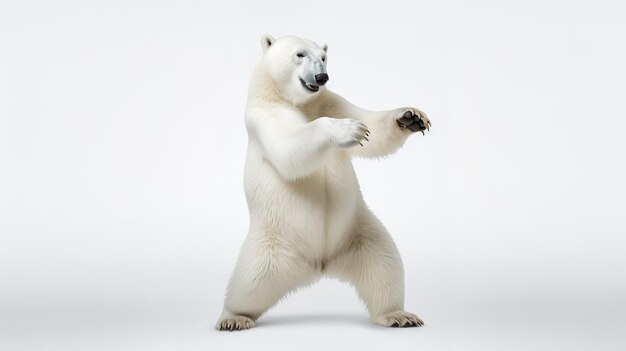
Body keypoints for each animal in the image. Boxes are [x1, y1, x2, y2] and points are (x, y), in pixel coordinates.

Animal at [216, 34, 428, 332]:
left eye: (324, 57)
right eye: (300, 54)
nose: (322, 76)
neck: (298, 102)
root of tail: (320, 263)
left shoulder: (331, 101)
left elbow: (372, 128)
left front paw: (410, 116)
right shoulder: (265, 113)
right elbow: (289, 148)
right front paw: (347, 129)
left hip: (360, 234)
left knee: (384, 265)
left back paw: (398, 314)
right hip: (270, 244)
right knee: (249, 281)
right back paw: (234, 317)